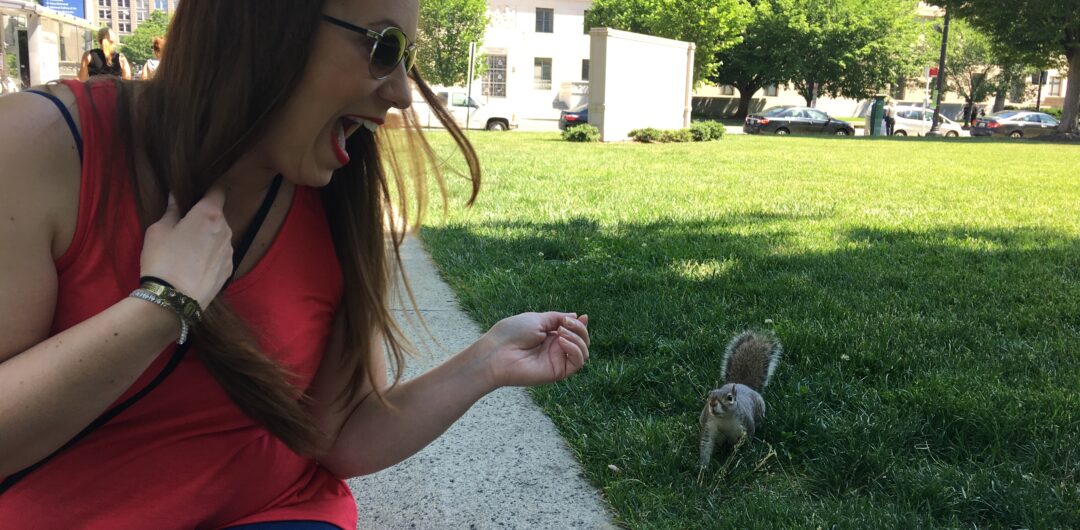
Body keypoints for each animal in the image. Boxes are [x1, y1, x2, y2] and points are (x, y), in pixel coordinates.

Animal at [695, 330, 781, 470]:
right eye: (709, 395)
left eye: (730, 398)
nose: (712, 403)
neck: (724, 419)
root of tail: (743, 385)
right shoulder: (709, 426)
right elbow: (706, 445)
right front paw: (703, 466)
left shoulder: (745, 425)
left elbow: (745, 442)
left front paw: (738, 458)